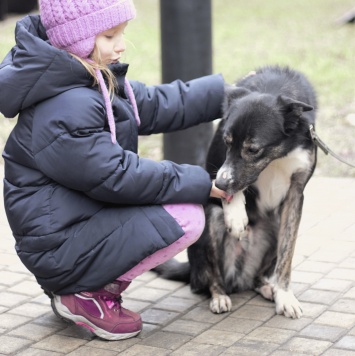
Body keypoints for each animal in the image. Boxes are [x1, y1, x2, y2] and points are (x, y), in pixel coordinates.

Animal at [156, 65, 318, 318]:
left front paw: (284, 295)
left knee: (258, 277)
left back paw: (267, 287)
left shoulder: (296, 192)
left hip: (274, 226)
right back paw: (219, 296)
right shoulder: (216, 165)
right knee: (211, 279)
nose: (220, 185)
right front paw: (235, 214)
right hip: (211, 224)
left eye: (253, 149)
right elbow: (231, 183)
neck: (276, 157)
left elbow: (287, 253)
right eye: (227, 142)